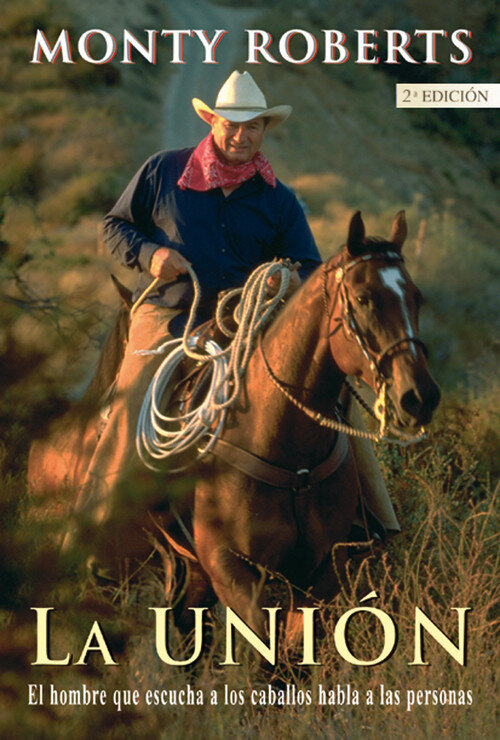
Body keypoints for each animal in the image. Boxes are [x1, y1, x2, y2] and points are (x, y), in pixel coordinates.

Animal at [28, 211, 440, 649]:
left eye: (415, 297)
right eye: (363, 299)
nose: (419, 397)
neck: (286, 446)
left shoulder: (320, 573)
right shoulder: (231, 569)